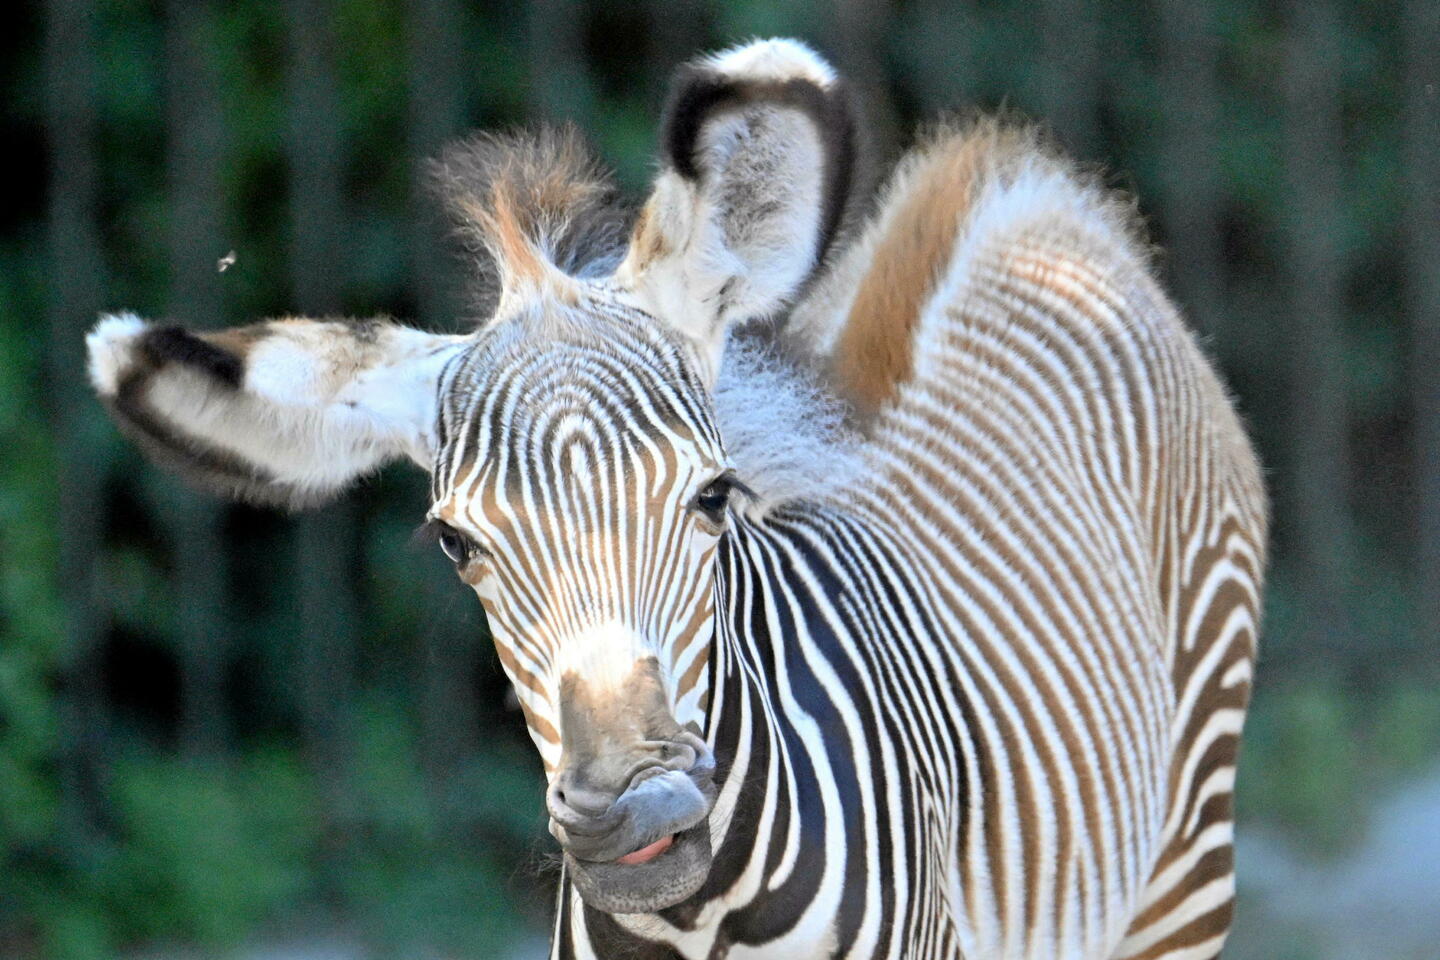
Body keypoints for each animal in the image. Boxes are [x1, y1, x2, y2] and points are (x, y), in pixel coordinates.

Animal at [84, 39, 1267, 960]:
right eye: (456, 544)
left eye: (714, 496)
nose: (637, 816)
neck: (699, 923)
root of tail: (1029, 201)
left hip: (1185, 861)